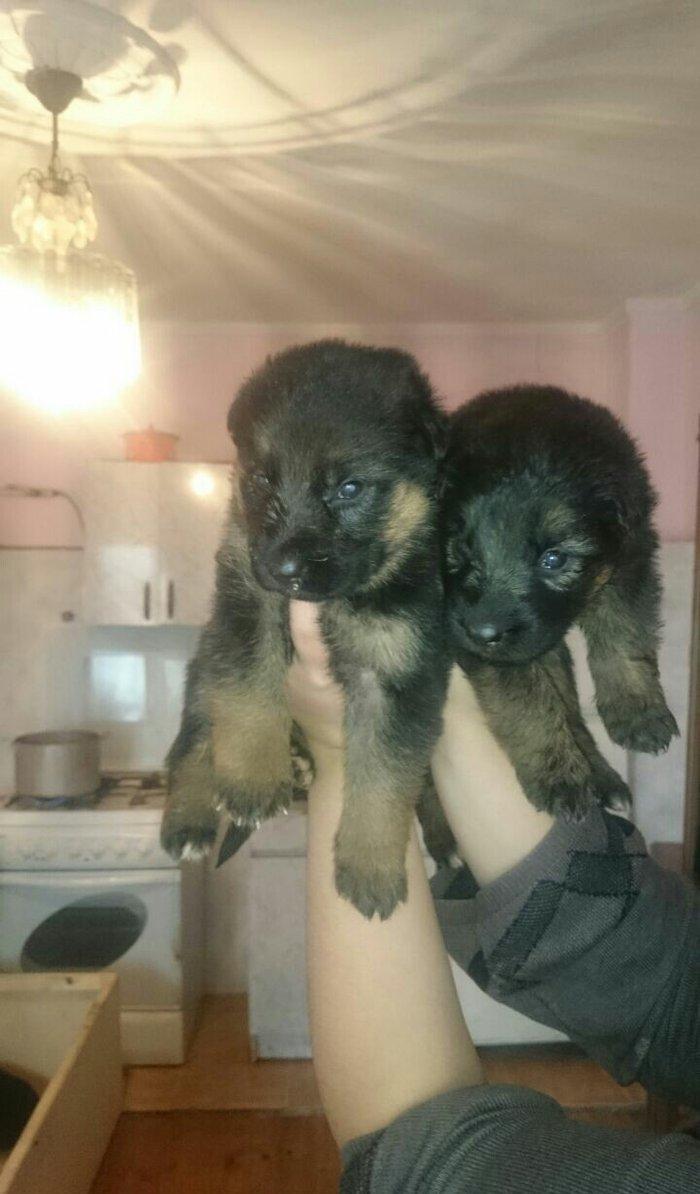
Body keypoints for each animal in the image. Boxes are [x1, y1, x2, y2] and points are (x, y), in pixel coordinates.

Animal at [160, 339, 449, 919]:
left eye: (349, 488)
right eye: (260, 480)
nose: (282, 569)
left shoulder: (399, 676)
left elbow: (384, 778)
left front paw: (370, 866)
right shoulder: (245, 609)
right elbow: (248, 694)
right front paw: (252, 775)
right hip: (204, 663)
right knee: (193, 740)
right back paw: (190, 816)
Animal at [438, 383, 678, 821]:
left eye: (554, 559)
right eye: (462, 553)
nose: (480, 632)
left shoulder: (630, 562)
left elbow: (624, 635)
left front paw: (636, 707)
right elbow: (528, 702)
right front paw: (558, 775)